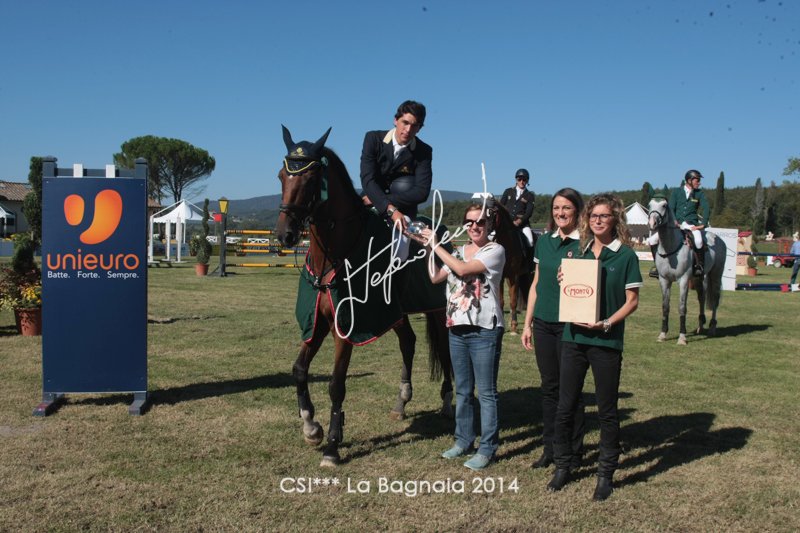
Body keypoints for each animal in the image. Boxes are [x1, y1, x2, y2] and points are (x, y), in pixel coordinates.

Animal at [275, 126, 452, 467]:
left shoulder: (346, 329)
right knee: (408, 342)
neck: (333, 257)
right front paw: (311, 427)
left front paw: (332, 447)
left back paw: (450, 399)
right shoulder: (317, 323)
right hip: (395, 313)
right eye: (281, 176)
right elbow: (299, 370)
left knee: (448, 351)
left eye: (311, 179)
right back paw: (401, 403)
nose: (285, 235)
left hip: (437, 310)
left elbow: (336, 385)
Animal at [647, 196, 726, 345]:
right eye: (650, 205)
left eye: (664, 205)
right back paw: (700, 326)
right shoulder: (664, 280)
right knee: (702, 297)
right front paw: (662, 334)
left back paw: (712, 327)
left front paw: (682, 337)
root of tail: (717, 238)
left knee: (715, 299)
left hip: (715, 274)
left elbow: (682, 307)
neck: (670, 247)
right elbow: (665, 307)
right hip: (699, 278)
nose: (652, 223)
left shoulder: (683, 281)